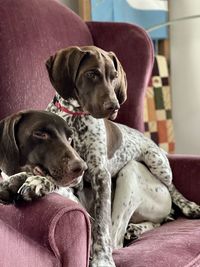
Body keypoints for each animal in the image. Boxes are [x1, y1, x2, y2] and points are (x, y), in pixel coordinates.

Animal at [45, 46, 200, 267]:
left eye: (114, 76)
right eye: (91, 74)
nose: (114, 106)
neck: (74, 119)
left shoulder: (100, 175)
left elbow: (102, 223)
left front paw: (102, 258)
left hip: (155, 164)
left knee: (170, 187)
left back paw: (188, 206)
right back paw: (136, 229)